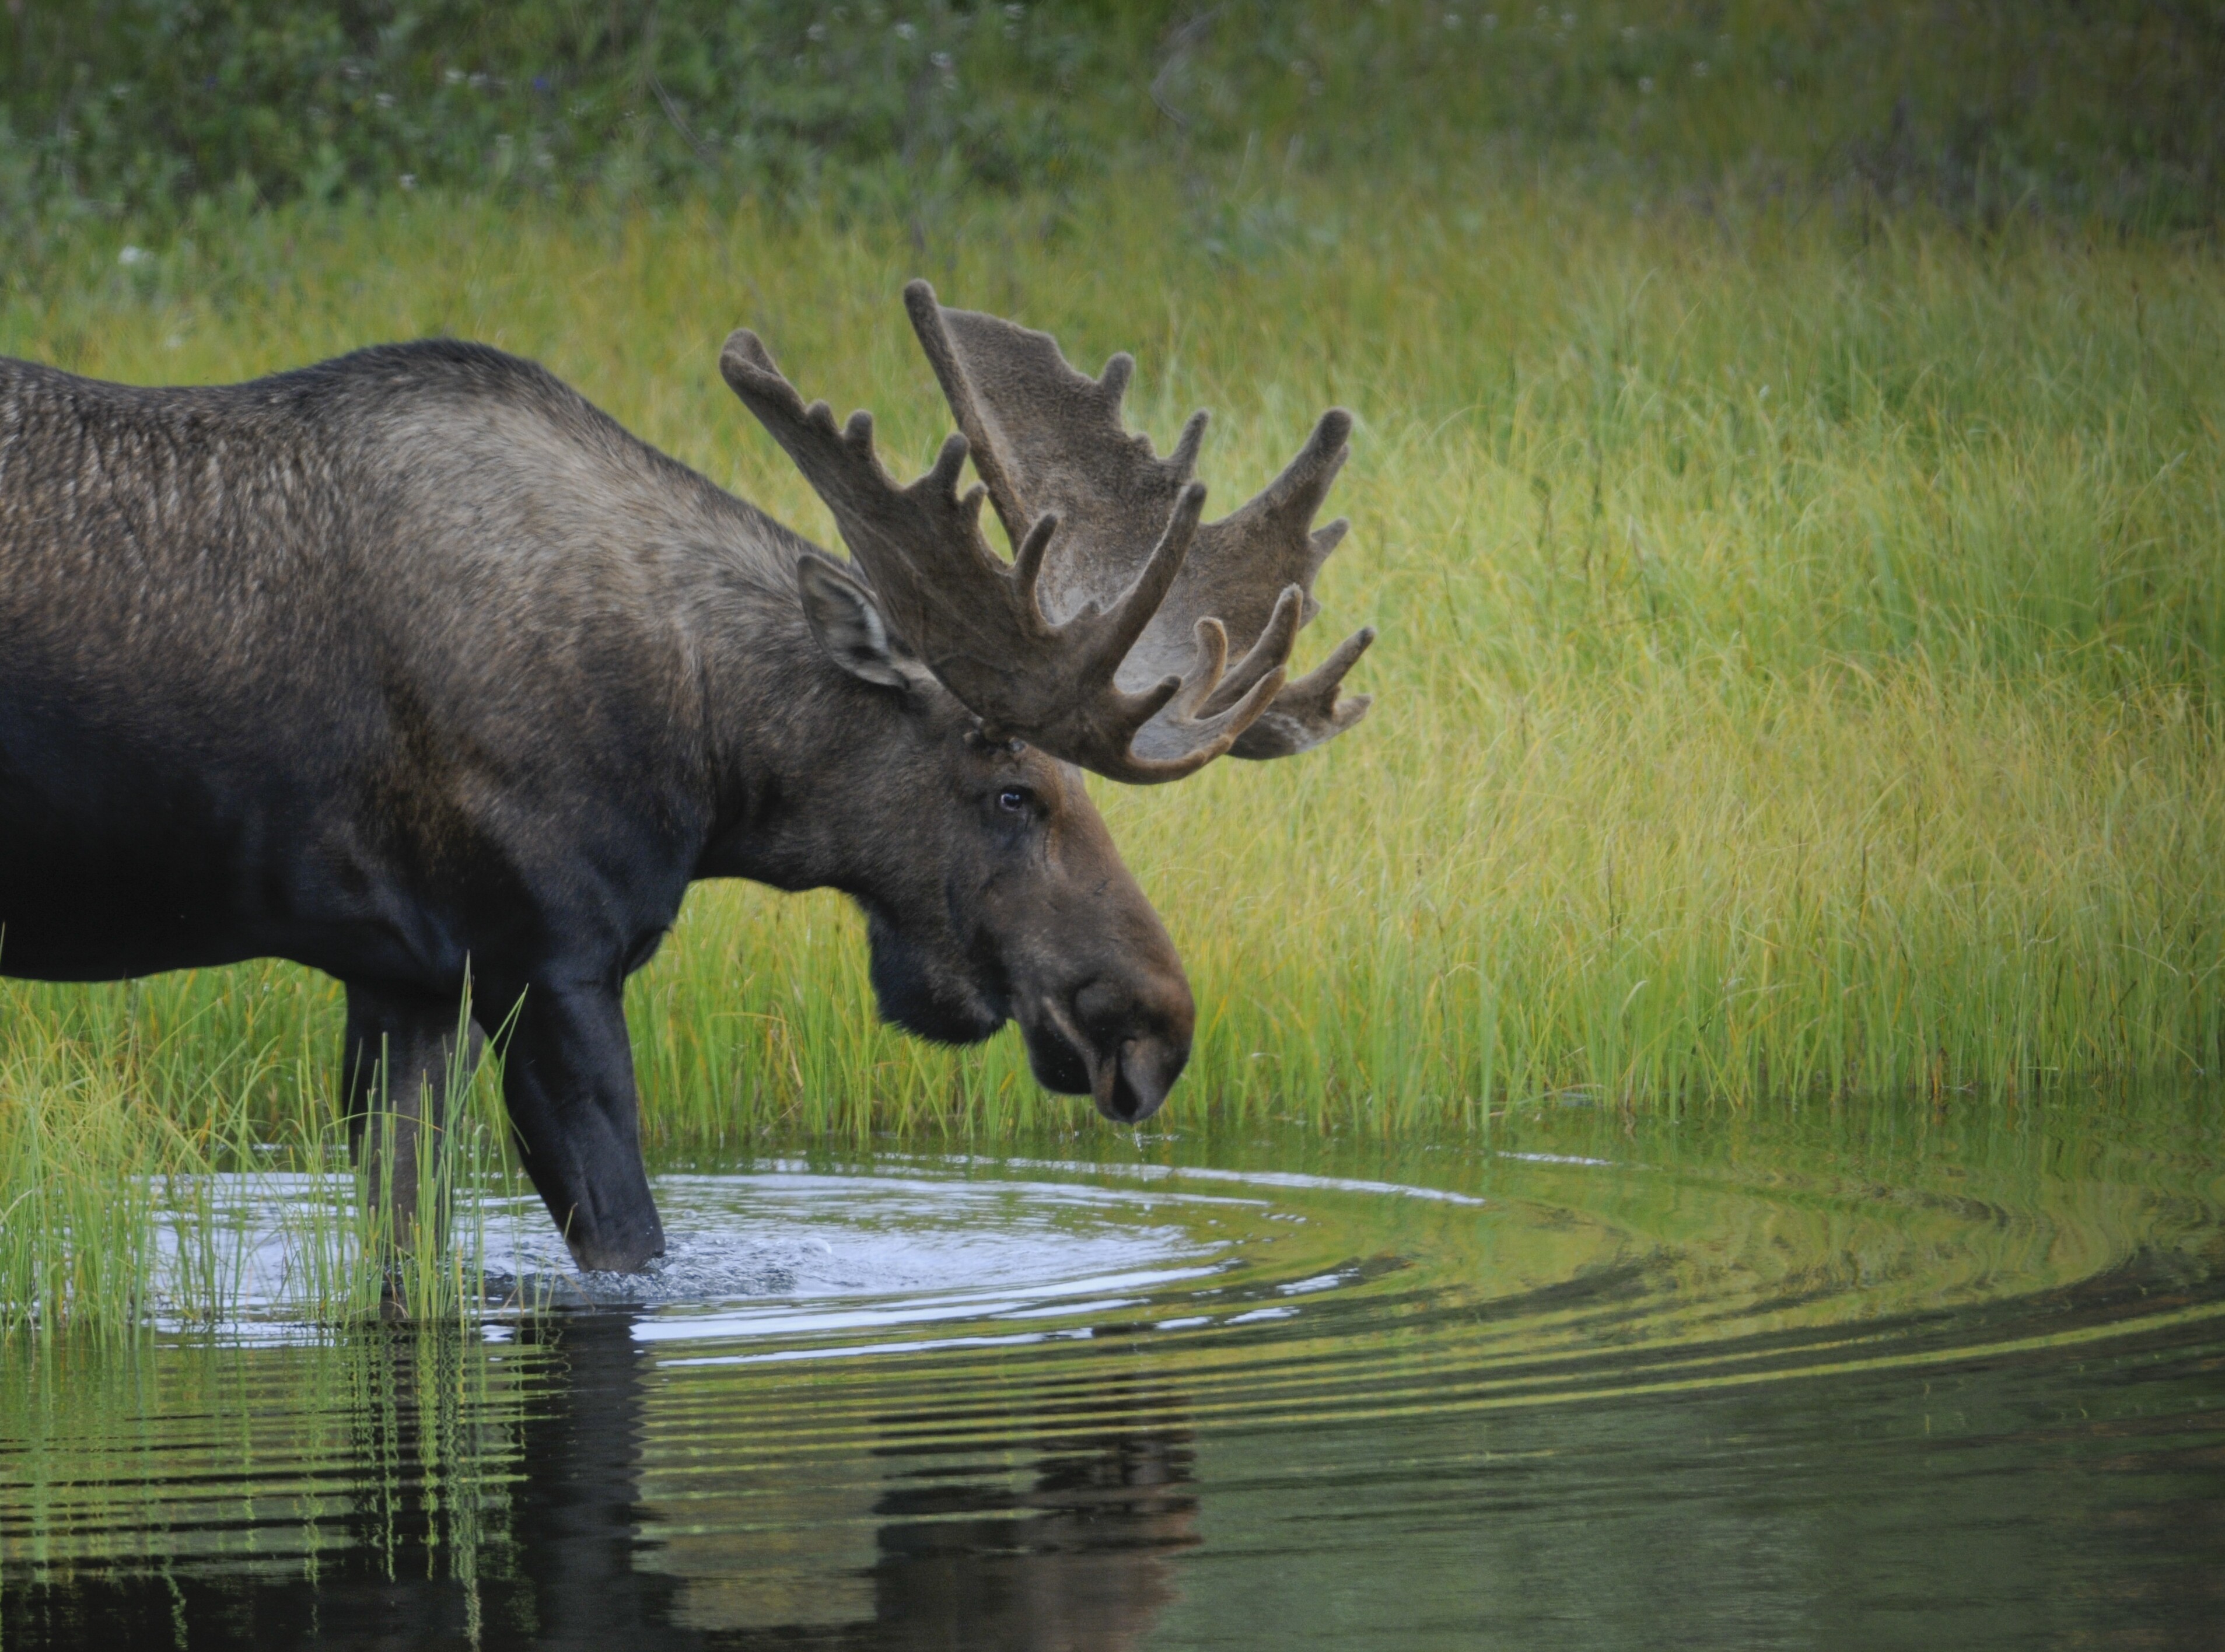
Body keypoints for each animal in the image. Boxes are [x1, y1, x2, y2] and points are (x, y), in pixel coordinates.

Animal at [0, 284, 1370, 1272]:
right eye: (1010, 792)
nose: (1153, 1022)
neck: (707, 760)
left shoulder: (403, 980)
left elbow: (402, 1246)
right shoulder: (546, 959)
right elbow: (632, 1251)